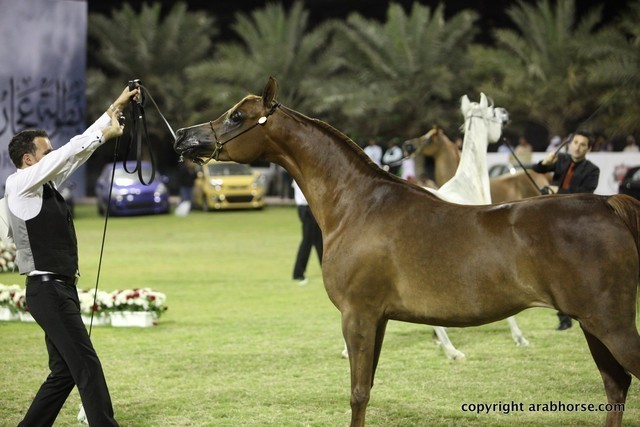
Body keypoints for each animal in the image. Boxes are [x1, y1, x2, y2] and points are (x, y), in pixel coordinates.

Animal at [174, 77, 640, 427]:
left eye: (237, 116)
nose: (182, 136)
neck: (358, 203)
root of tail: (607, 204)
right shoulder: (377, 318)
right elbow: (368, 387)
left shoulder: (358, 315)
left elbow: (358, 393)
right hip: (594, 326)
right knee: (615, 387)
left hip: (610, 324)